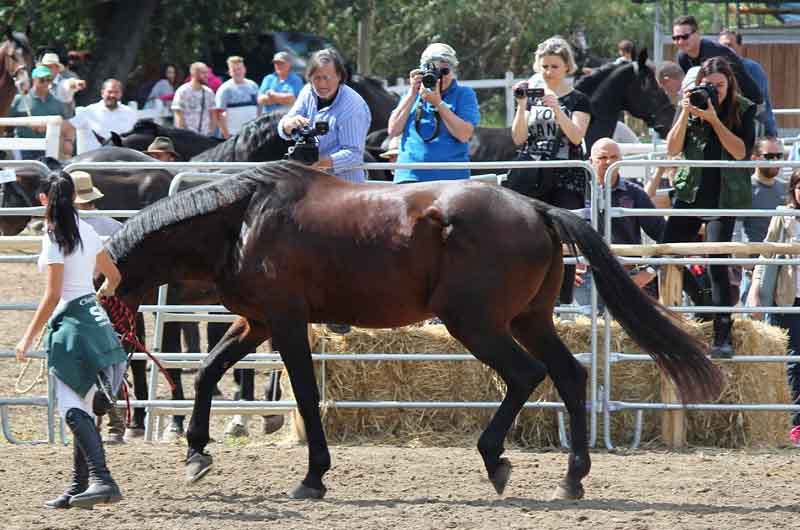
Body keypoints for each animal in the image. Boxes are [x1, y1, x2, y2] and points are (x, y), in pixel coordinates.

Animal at [107, 160, 724, 499]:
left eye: (106, 294)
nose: (118, 363)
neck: (242, 220)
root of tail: (537, 209)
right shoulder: (255, 321)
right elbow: (209, 372)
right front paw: (196, 453)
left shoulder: (284, 323)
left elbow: (304, 396)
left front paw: (313, 476)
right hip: (529, 320)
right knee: (569, 376)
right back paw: (572, 479)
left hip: (476, 323)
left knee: (526, 375)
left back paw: (496, 459)